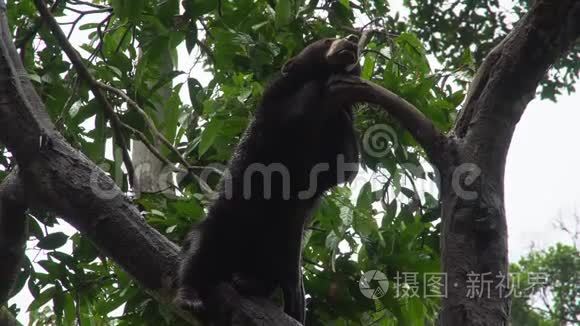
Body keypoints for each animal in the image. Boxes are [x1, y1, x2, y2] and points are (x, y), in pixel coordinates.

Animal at [177, 35, 360, 324]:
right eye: (326, 40)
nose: (352, 38)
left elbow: (344, 166)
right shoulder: (274, 113)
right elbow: (293, 111)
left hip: (277, 241)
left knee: (273, 268)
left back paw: (249, 282)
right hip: (226, 226)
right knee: (199, 251)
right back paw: (190, 295)